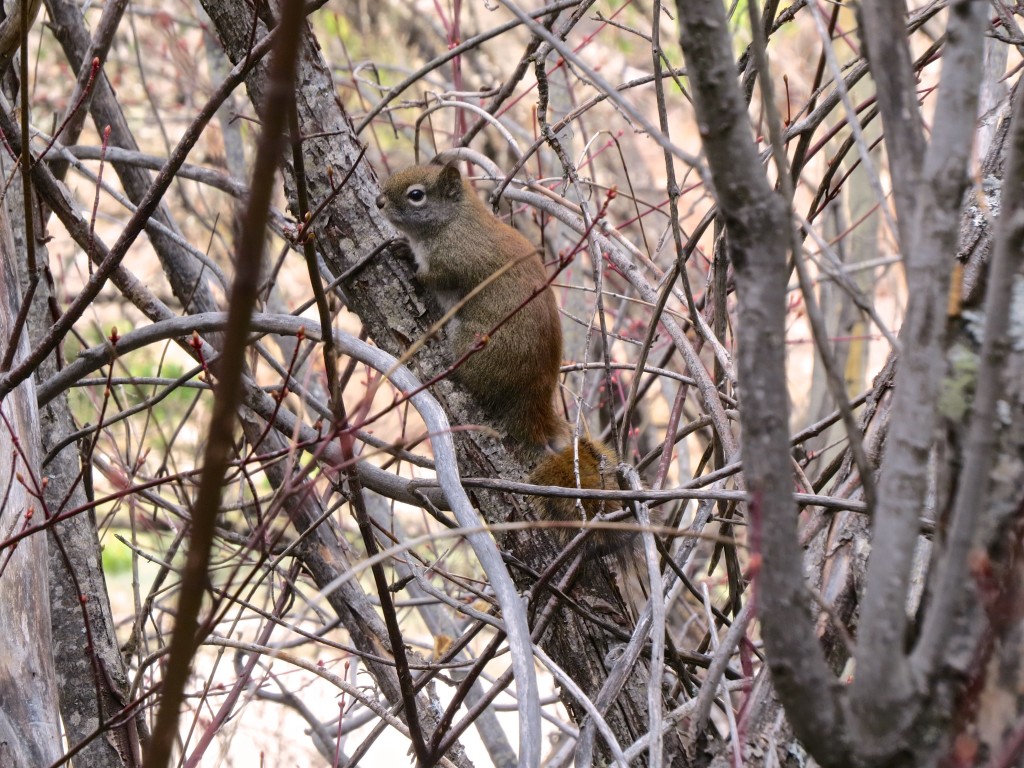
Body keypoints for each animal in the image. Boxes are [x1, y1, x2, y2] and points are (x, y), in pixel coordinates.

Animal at [376, 159, 630, 552]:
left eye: (416, 195)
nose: (378, 202)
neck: (454, 220)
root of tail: (531, 403)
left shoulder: (453, 260)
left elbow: (432, 276)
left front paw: (407, 256)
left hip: (470, 340)